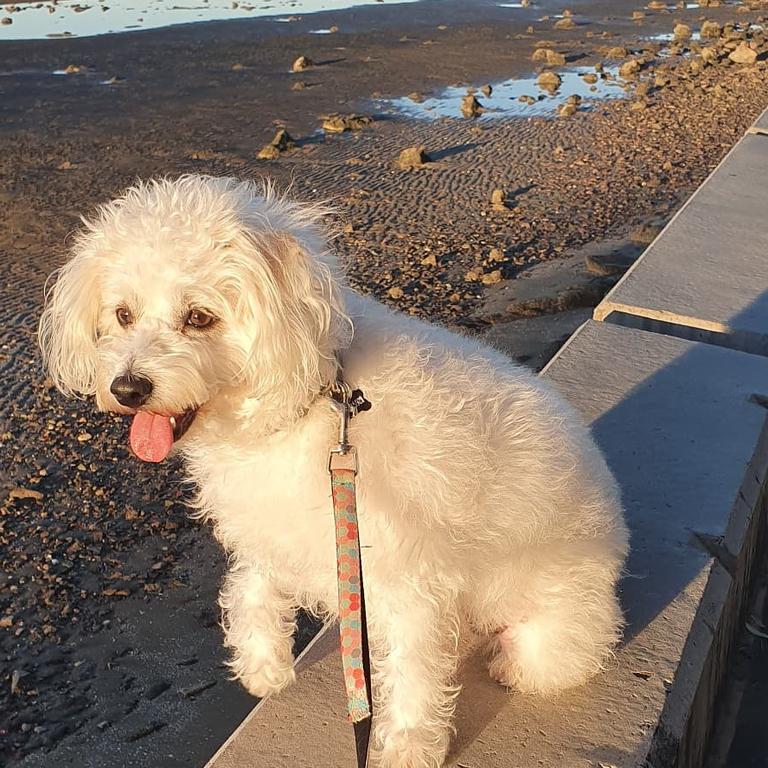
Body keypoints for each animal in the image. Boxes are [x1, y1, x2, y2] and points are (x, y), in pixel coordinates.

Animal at [39, 176, 628, 768]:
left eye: (199, 317)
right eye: (123, 315)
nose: (127, 389)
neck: (317, 400)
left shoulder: (408, 574)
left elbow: (411, 669)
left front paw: (406, 744)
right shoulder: (274, 527)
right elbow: (251, 585)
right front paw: (263, 664)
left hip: (545, 633)